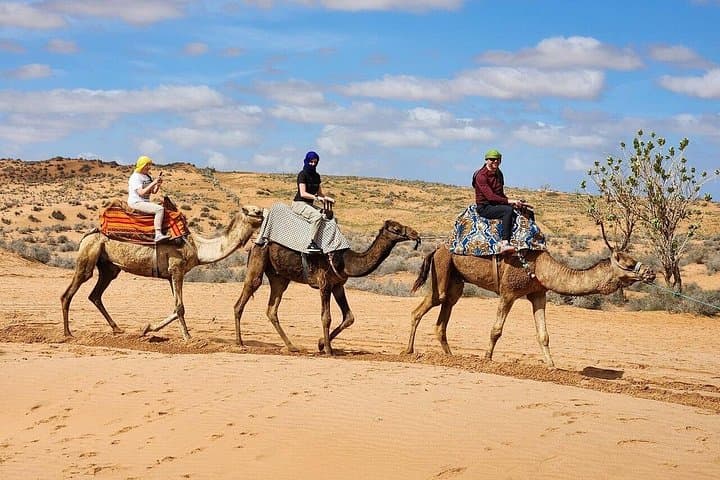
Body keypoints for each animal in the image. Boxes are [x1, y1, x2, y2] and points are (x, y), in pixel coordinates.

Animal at [61, 206, 264, 339]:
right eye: (253, 211)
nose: (263, 212)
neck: (198, 248)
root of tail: (87, 235)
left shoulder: (170, 275)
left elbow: (176, 307)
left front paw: (148, 328)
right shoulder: (177, 269)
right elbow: (180, 307)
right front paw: (187, 337)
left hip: (109, 267)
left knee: (95, 295)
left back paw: (117, 329)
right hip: (88, 255)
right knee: (69, 292)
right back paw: (68, 333)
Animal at [233, 219, 420, 355]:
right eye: (396, 228)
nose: (415, 233)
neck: (346, 261)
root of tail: (255, 242)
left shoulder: (337, 285)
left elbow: (349, 317)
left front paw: (321, 344)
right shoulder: (324, 284)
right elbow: (326, 317)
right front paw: (329, 350)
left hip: (280, 277)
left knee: (272, 309)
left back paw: (292, 347)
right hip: (259, 259)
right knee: (244, 296)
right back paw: (240, 343)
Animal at [403, 234, 655, 367]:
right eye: (628, 262)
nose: (651, 273)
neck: (541, 267)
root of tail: (436, 248)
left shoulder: (538, 294)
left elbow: (543, 334)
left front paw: (552, 366)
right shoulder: (508, 291)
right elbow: (496, 330)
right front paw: (487, 358)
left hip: (456, 280)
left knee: (443, 314)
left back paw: (451, 357)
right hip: (443, 267)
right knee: (427, 305)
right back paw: (409, 351)